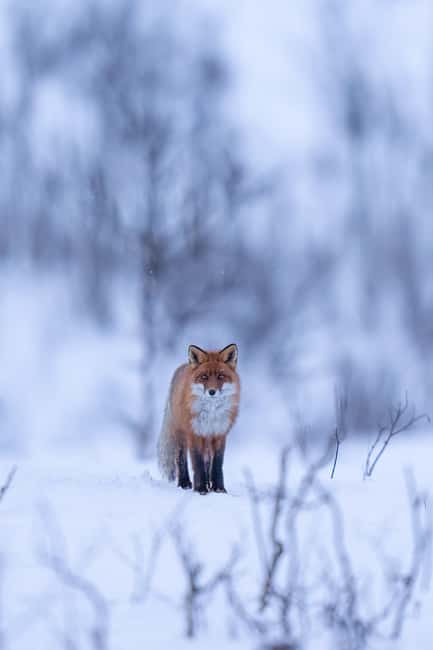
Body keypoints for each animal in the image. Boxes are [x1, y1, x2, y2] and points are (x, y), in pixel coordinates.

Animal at [157, 343, 240, 494]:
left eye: (221, 376)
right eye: (204, 377)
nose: (212, 391)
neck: (211, 414)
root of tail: (184, 365)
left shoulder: (219, 433)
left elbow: (217, 463)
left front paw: (218, 488)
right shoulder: (194, 432)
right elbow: (197, 462)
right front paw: (201, 488)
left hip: (206, 438)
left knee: (208, 460)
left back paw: (208, 482)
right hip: (181, 434)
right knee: (181, 459)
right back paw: (184, 483)